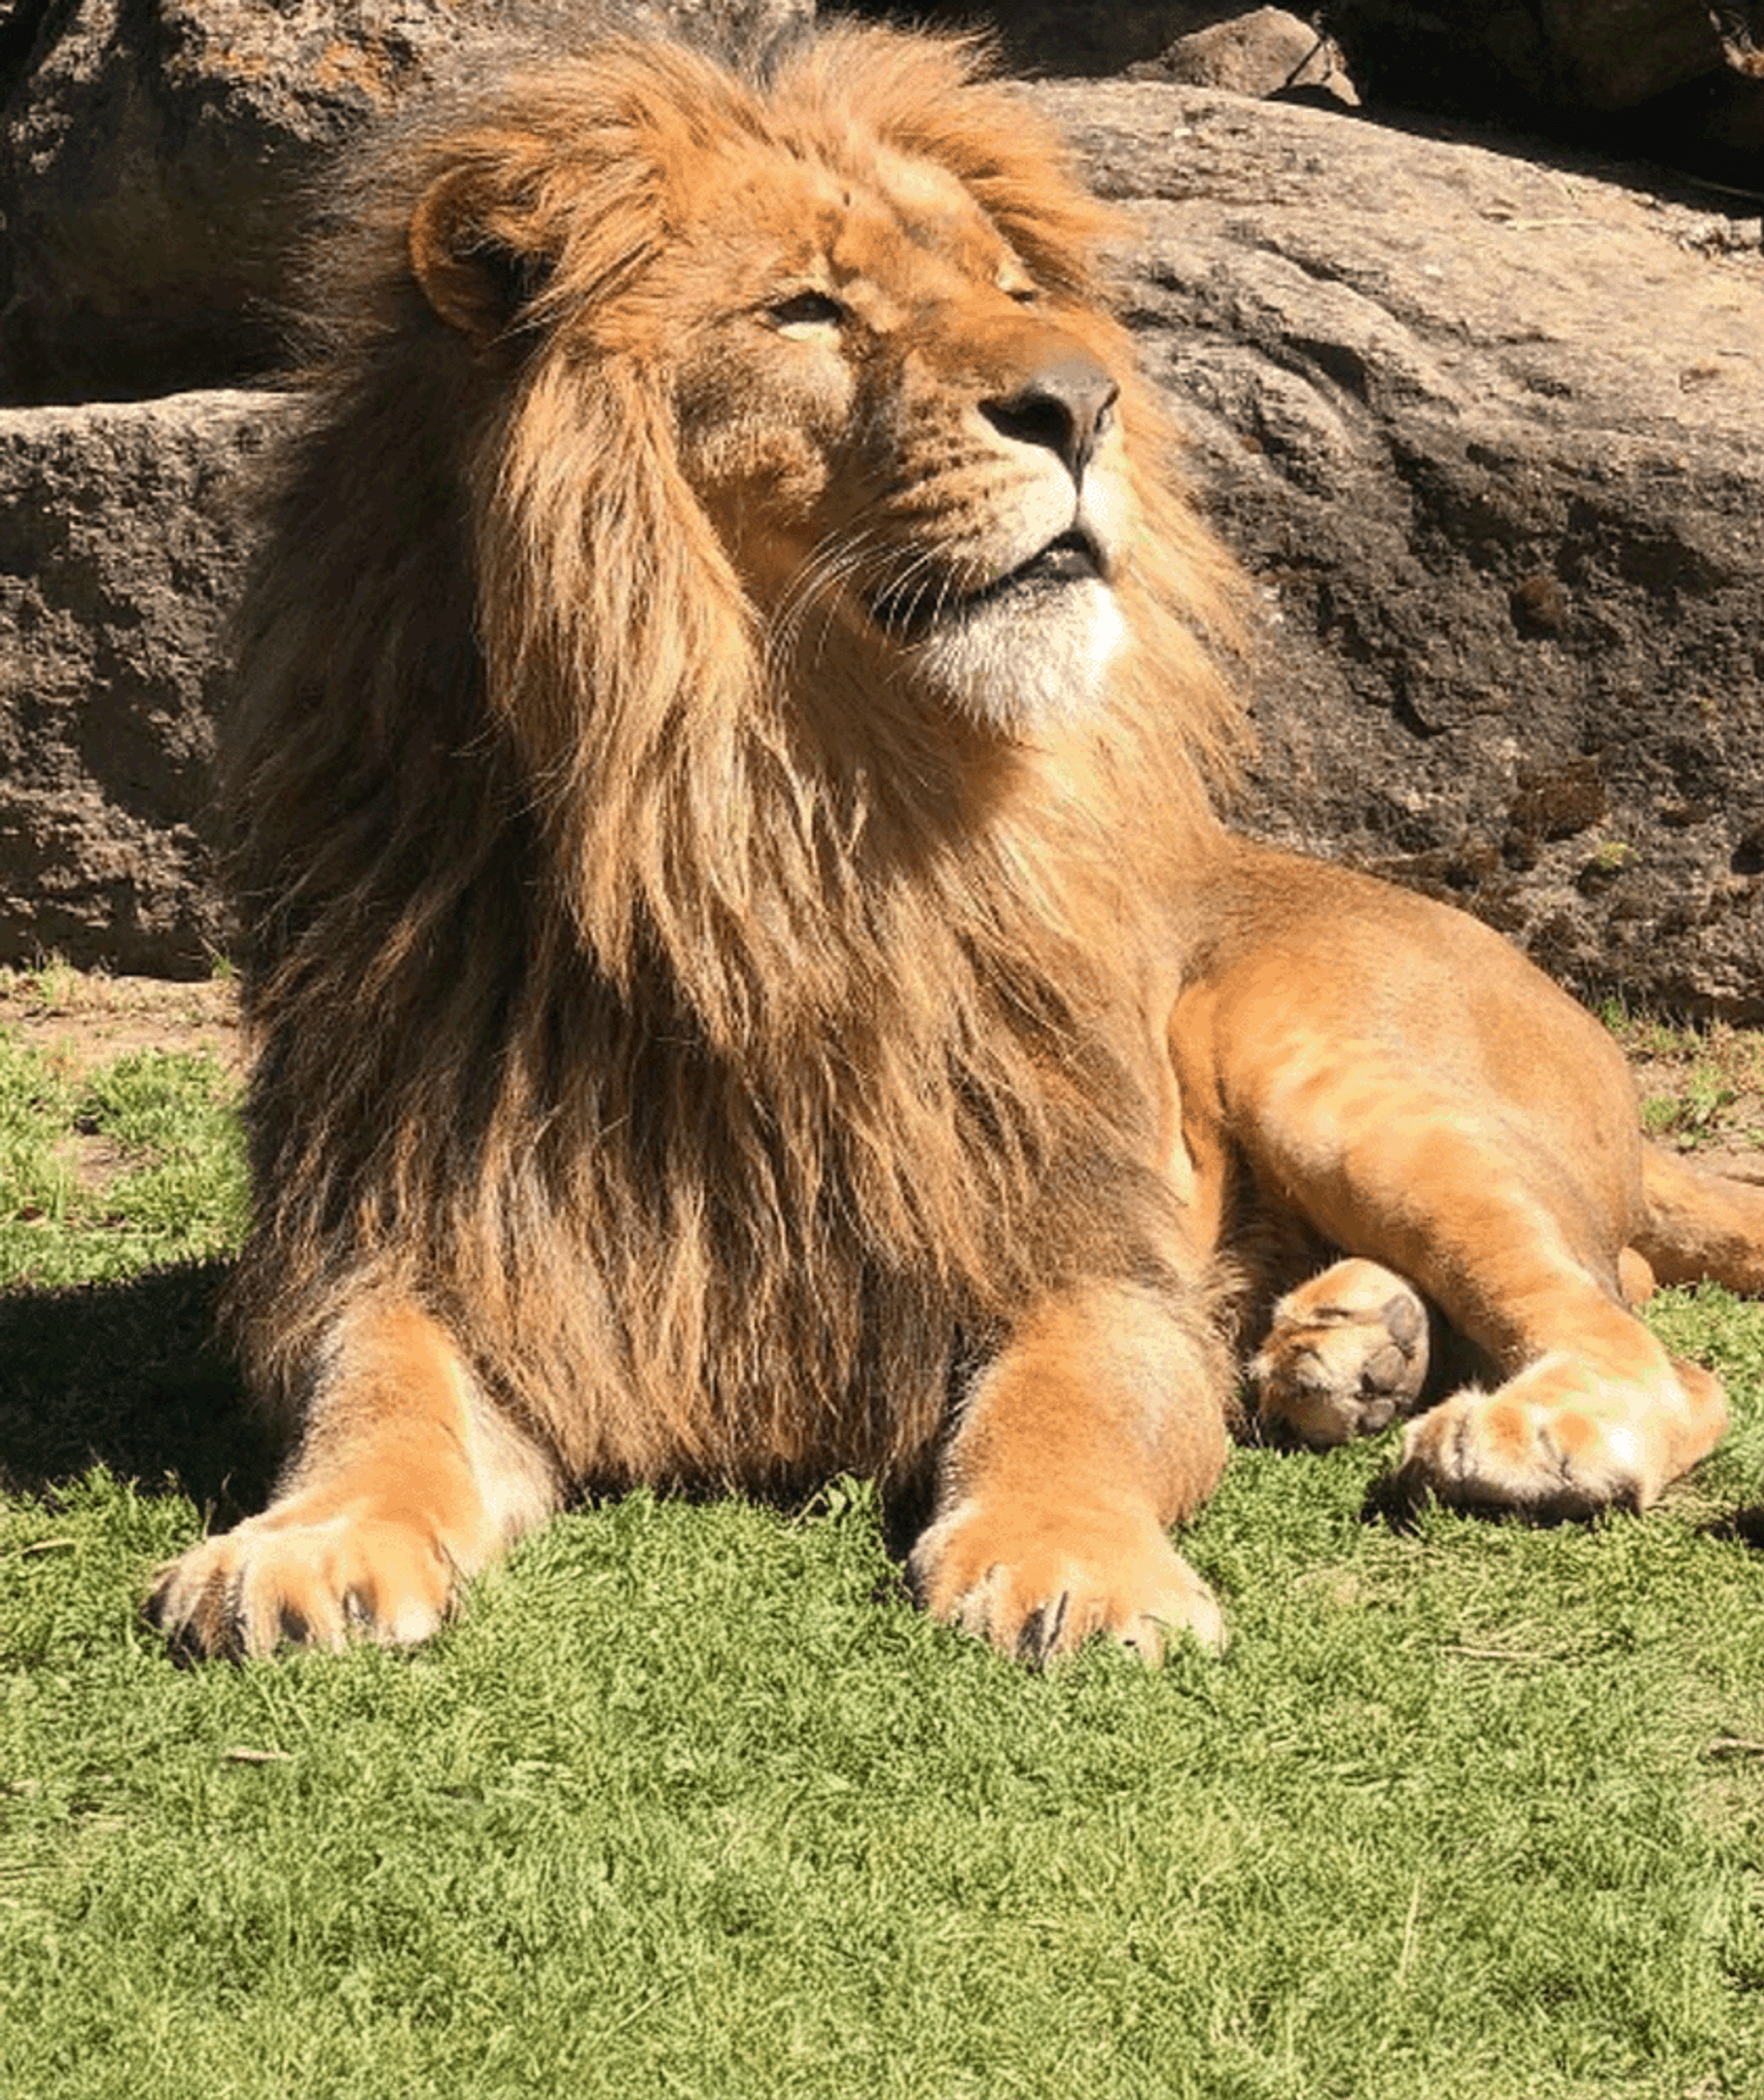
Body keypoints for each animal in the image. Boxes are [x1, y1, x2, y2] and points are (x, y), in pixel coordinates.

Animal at [147, 23, 1763, 1664]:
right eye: (805, 307)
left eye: (1011, 294)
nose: (1084, 404)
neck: (767, 838)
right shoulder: (421, 1239)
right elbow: (373, 1395)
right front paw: (312, 1543)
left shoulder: (1079, 1244)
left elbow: (1068, 1402)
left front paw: (1071, 1564)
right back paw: (1351, 1339)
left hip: (1314, 1054)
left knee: (1647, 1338)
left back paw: (1518, 1421)